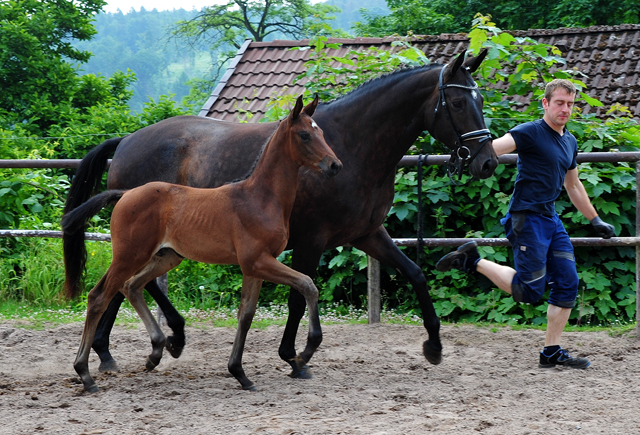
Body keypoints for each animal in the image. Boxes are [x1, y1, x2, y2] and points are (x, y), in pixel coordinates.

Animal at [62, 96, 342, 396]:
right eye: (304, 135)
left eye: (321, 133)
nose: (334, 165)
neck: (261, 198)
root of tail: (125, 194)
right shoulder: (258, 261)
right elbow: (307, 285)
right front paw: (304, 354)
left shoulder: (253, 268)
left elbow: (246, 314)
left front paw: (240, 373)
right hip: (129, 256)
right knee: (99, 297)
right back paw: (86, 374)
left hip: (166, 257)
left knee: (131, 286)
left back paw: (157, 349)